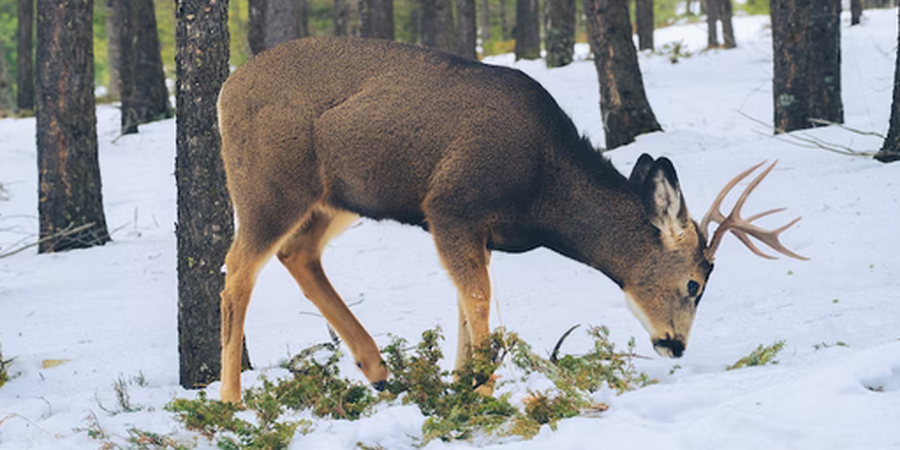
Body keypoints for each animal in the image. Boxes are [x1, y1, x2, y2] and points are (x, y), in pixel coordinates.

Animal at [213, 38, 808, 402]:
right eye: (693, 283)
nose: (675, 344)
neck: (543, 192)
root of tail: (224, 90)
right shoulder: (450, 204)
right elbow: (479, 300)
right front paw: (481, 389)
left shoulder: (469, 228)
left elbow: (462, 302)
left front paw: (459, 384)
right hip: (269, 184)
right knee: (238, 269)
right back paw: (231, 399)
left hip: (336, 199)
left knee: (297, 254)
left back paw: (378, 369)